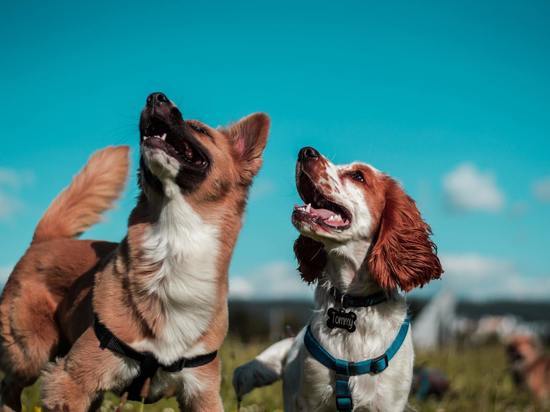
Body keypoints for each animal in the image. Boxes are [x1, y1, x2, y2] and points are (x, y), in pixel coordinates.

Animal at [0, 93, 272, 412]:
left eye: (199, 130)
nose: (156, 96)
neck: (174, 242)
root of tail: (46, 240)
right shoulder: (71, 380)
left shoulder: (202, 392)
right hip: (31, 353)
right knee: (9, 385)